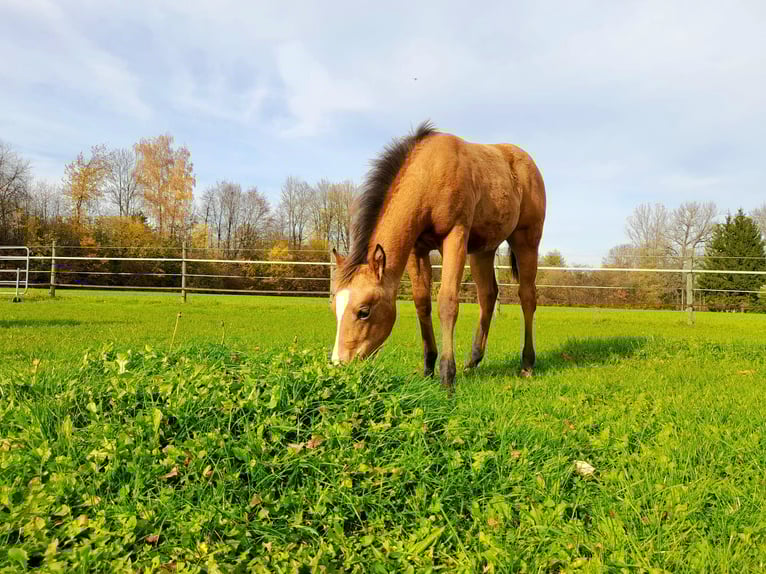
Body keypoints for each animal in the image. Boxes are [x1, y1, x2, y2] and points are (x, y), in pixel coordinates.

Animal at [330, 121, 546, 392]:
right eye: (334, 307)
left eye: (364, 311)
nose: (339, 364)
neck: (429, 173)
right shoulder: (417, 249)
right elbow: (422, 303)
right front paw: (428, 368)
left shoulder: (454, 236)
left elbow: (447, 302)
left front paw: (446, 376)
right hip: (482, 250)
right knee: (488, 295)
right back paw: (473, 360)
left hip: (526, 240)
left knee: (527, 297)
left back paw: (527, 363)